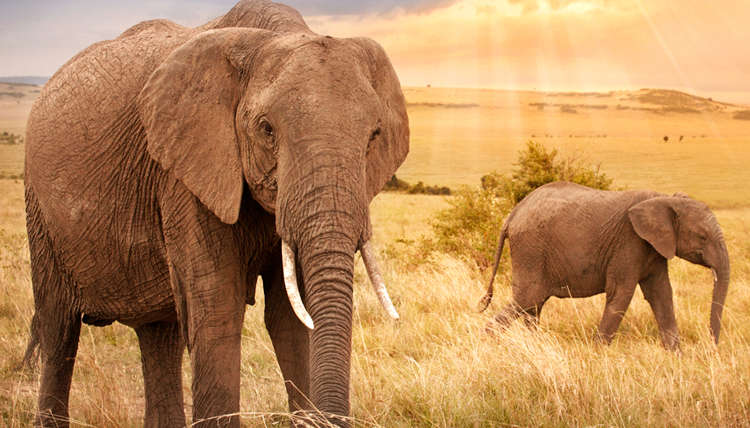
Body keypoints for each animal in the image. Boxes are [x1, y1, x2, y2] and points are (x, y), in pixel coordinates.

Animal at [22, 1, 408, 426]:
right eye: (267, 130)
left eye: (374, 135)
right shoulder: (185, 170)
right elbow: (218, 309)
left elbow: (292, 317)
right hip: (39, 211)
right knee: (59, 330)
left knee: (160, 333)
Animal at [478, 182, 730, 350]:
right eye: (702, 237)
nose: (712, 348)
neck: (665, 199)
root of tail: (512, 215)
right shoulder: (629, 242)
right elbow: (621, 293)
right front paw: (598, 353)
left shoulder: (653, 248)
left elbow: (662, 294)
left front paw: (675, 354)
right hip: (531, 248)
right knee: (528, 298)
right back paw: (490, 340)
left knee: (532, 304)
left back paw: (536, 344)